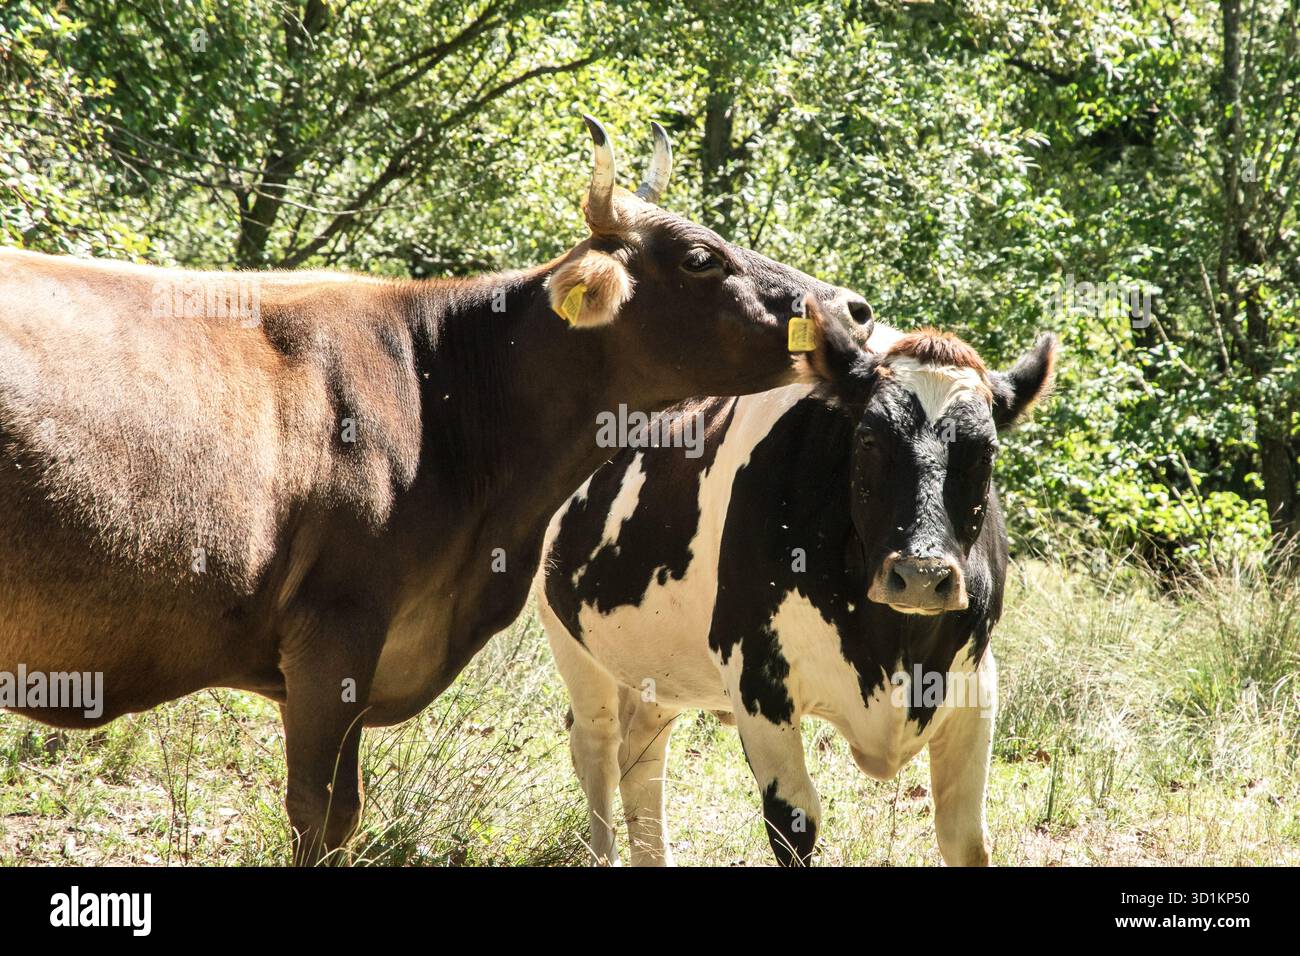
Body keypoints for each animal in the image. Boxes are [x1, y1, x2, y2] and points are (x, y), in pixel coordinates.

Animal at [537, 320, 1057, 866]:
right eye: (868, 438)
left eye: (986, 451)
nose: (921, 573)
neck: (891, 644)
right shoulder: (758, 679)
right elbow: (794, 822)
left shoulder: (976, 684)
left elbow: (966, 838)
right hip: (570, 640)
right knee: (596, 746)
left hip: (657, 665)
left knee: (640, 755)